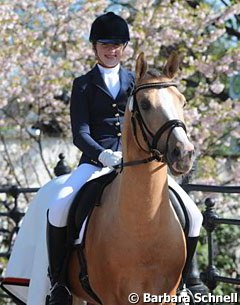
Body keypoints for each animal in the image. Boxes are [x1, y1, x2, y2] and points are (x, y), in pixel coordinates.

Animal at [68, 52, 195, 304]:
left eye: (183, 102)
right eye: (145, 105)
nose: (184, 154)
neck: (144, 226)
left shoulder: (166, 294)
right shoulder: (112, 298)